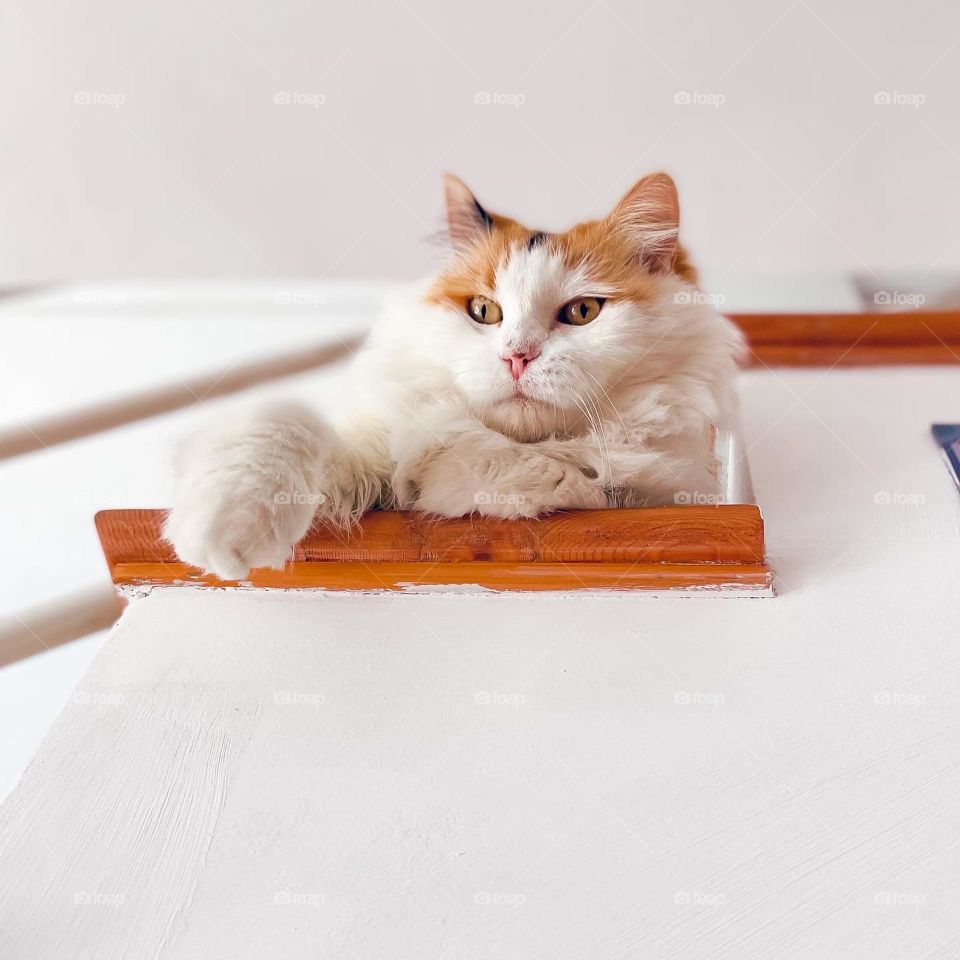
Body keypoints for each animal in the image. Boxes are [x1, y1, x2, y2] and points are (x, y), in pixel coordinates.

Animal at [163, 172, 744, 576]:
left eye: (583, 312)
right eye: (484, 311)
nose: (516, 357)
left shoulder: (663, 488)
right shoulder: (373, 440)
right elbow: (282, 422)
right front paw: (227, 532)